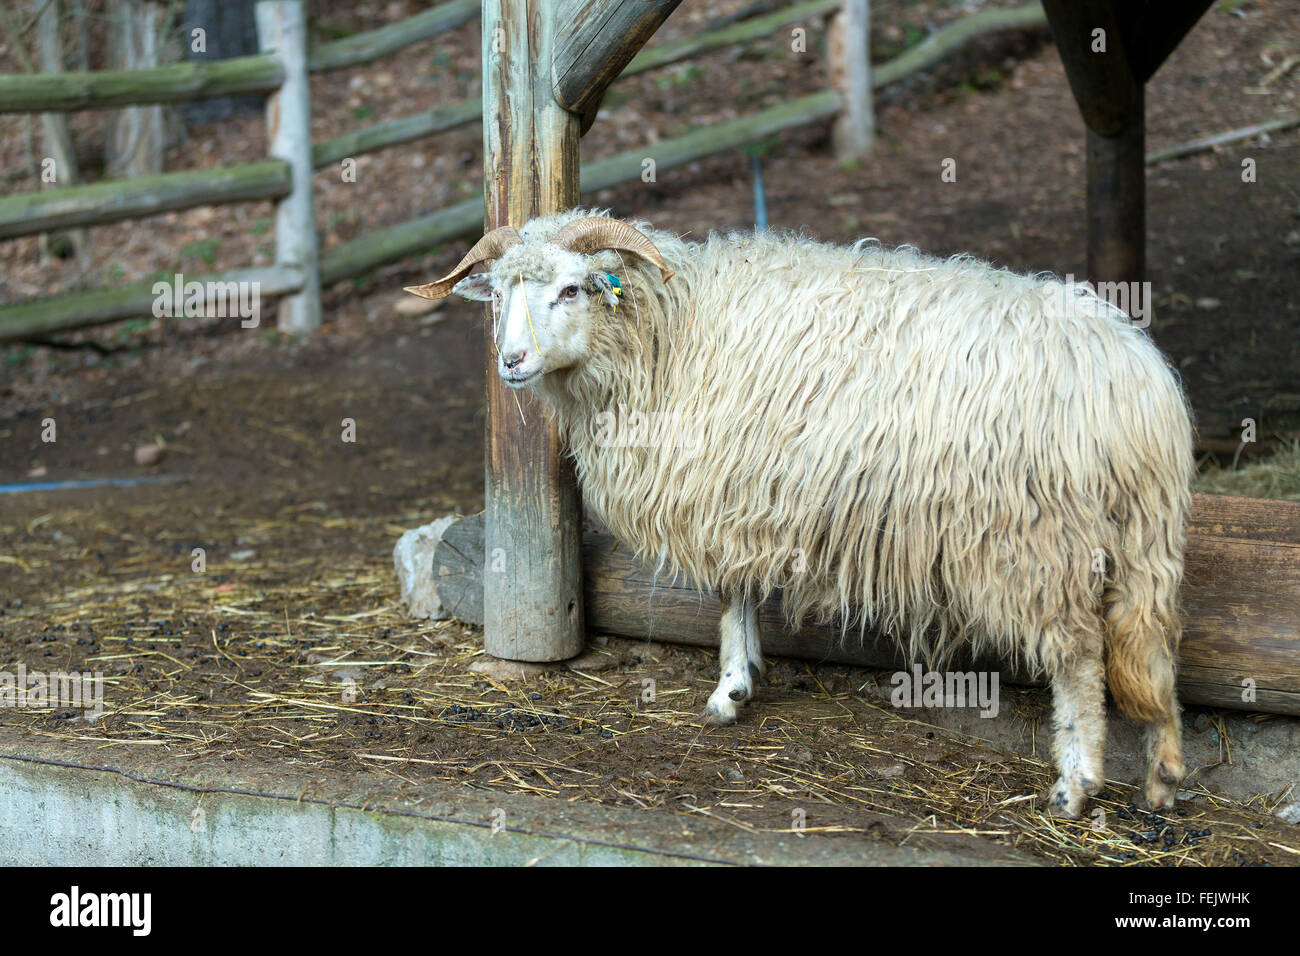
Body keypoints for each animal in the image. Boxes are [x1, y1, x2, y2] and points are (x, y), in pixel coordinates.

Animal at [408, 208, 1196, 816]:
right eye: (499, 294)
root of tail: (1136, 384)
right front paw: (743, 680)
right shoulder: (743, 494)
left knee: (1080, 657)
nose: (511, 362)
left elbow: (728, 594)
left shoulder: (719, 487)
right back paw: (1161, 778)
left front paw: (729, 691)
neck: (669, 330)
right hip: (1142, 539)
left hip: (1039, 541)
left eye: (571, 288)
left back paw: (1076, 786)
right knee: (1151, 649)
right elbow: (742, 590)